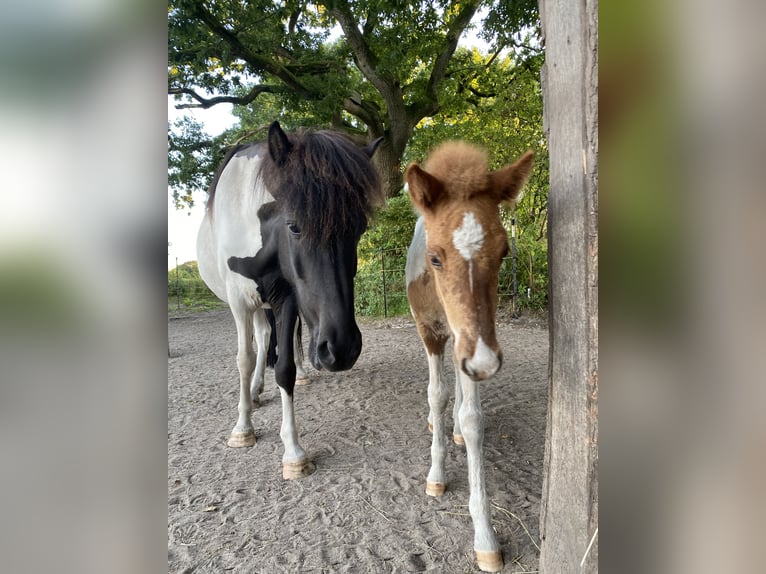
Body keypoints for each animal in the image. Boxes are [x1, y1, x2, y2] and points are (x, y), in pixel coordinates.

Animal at [195, 122, 380, 482]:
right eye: (294, 226)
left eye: (360, 229)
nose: (342, 349)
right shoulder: (239, 302)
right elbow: (244, 359)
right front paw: (243, 428)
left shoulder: (287, 298)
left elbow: (285, 368)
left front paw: (293, 452)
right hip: (253, 304)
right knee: (258, 343)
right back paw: (252, 394)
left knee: (274, 339)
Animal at [404, 142, 536, 572]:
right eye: (435, 257)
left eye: (504, 251)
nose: (486, 363)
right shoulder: (431, 334)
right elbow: (436, 394)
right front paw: (436, 476)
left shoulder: (471, 343)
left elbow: (472, 417)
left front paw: (485, 537)